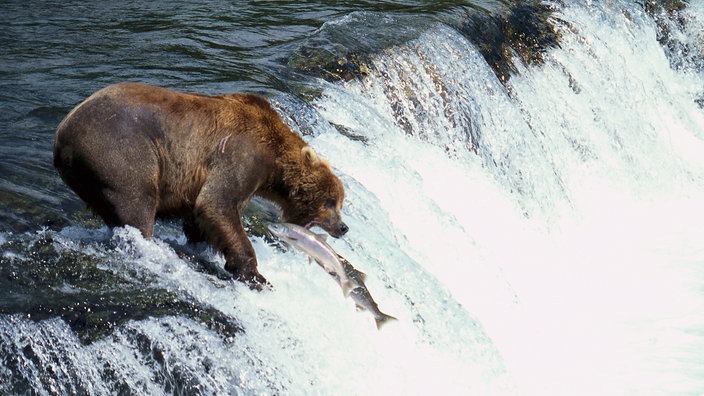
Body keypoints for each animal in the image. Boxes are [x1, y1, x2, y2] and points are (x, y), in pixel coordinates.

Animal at [54, 83, 350, 288]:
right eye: (330, 201)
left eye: (340, 202)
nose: (343, 227)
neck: (273, 162)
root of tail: (61, 133)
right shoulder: (241, 155)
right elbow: (218, 203)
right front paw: (254, 274)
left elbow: (204, 216)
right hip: (121, 150)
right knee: (137, 203)